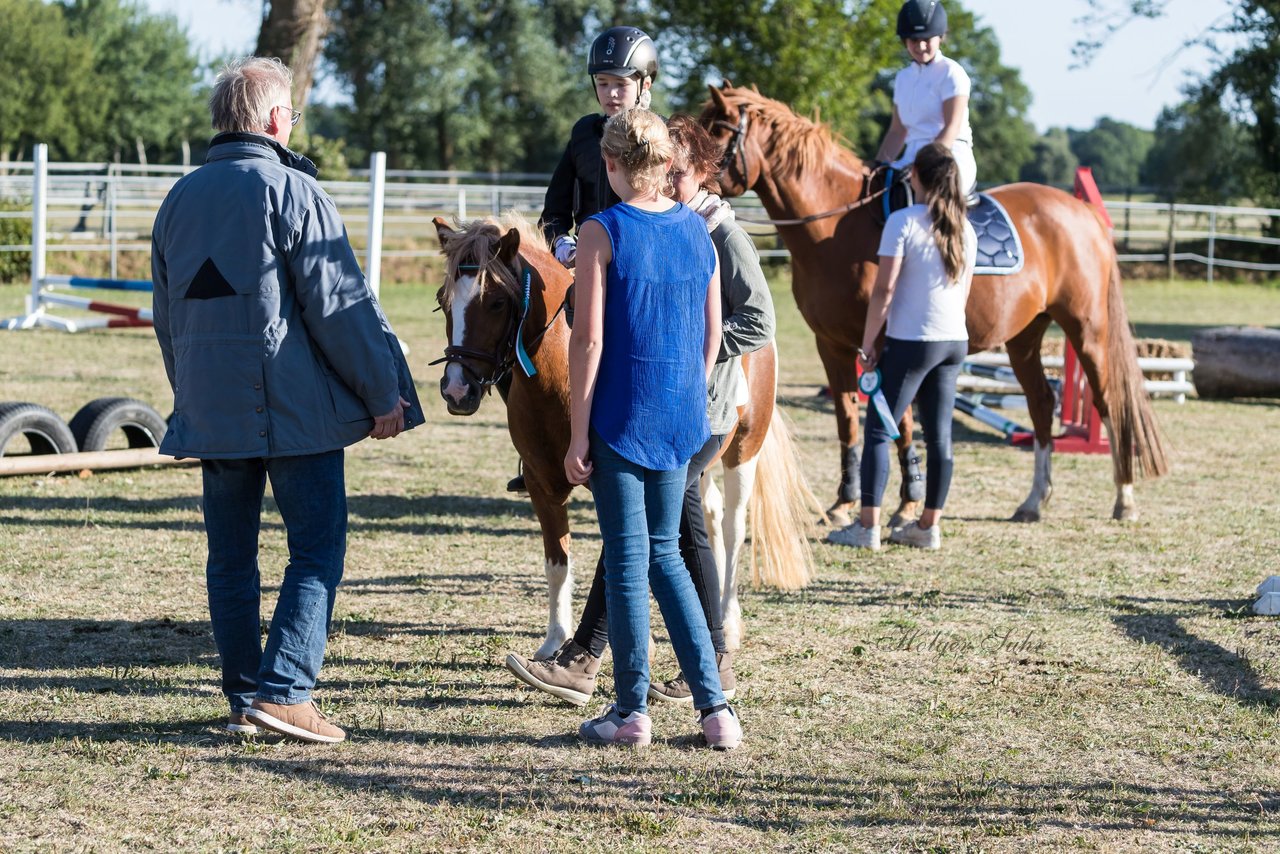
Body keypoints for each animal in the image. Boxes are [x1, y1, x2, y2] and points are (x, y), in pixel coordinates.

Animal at [437, 215, 819, 655]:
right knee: (707, 516)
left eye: (497, 302)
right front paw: (555, 641)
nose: (456, 390)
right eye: (444, 301)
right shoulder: (540, 485)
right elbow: (557, 562)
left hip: (743, 448)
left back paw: (728, 619)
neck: (565, 377)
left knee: (734, 526)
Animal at [701, 88, 1172, 527]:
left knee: (1108, 402)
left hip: (1086, 329)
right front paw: (844, 503)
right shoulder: (831, 345)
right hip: (1024, 336)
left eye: (717, 133)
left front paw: (907, 503)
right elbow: (847, 422)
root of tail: (1085, 212)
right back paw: (1034, 501)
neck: (836, 228)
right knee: (1040, 403)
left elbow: (902, 423)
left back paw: (1124, 498)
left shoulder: (887, 346)